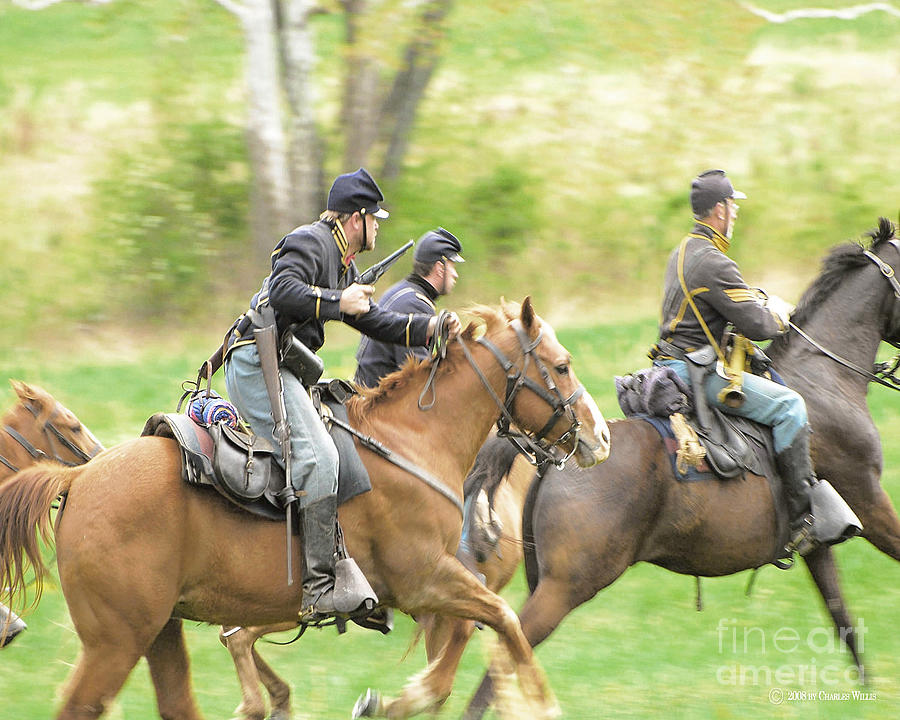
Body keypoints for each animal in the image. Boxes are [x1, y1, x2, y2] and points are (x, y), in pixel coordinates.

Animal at [0, 300, 612, 720]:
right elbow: (503, 619)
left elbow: (472, 635)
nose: (601, 437)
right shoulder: (425, 582)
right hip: (116, 643)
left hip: (159, 632)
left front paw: (398, 700)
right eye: (561, 365)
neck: (412, 442)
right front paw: (539, 701)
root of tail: (80, 479)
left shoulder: (428, 590)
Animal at [460, 221, 900, 720]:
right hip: (565, 588)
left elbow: (841, 614)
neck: (826, 380)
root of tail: (563, 453)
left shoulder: (817, 544)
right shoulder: (870, 501)